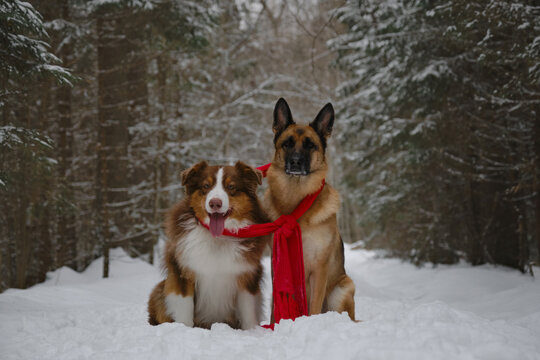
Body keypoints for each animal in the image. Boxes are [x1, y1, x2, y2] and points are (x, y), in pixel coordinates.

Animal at [148, 162, 268, 330]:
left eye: (231, 186)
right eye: (206, 185)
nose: (215, 203)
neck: (218, 237)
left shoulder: (247, 274)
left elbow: (248, 311)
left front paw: (253, 331)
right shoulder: (182, 270)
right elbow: (184, 308)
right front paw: (184, 330)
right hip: (158, 290)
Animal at [264, 97, 356, 320]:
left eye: (310, 145)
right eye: (287, 143)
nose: (295, 162)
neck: (296, 201)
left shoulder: (319, 268)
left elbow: (313, 306)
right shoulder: (276, 268)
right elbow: (274, 308)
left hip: (343, 287)